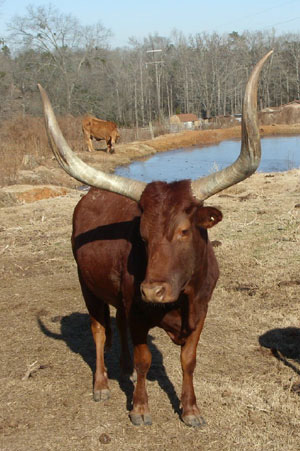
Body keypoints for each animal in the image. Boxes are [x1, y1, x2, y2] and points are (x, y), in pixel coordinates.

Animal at [37, 51, 272, 430]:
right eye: (143, 236)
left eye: (184, 231)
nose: (152, 290)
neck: (181, 299)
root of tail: (89, 196)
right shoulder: (138, 314)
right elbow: (146, 359)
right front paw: (140, 408)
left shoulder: (201, 312)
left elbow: (188, 361)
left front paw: (190, 410)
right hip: (87, 287)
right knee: (99, 329)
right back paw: (102, 384)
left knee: (115, 323)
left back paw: (123, 369)